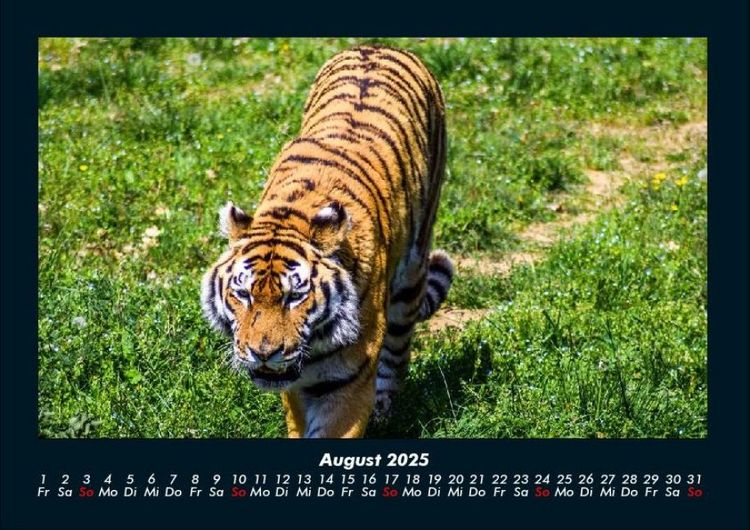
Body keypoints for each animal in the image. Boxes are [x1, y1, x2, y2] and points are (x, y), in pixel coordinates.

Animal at [200, 44, 453, 438]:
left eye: (295, 296)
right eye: (243, 294)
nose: (263, 353)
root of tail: (378, 45)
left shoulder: (348, 377)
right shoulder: (294, 383)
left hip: (412, 272)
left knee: (397, 352)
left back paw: (384, 410)